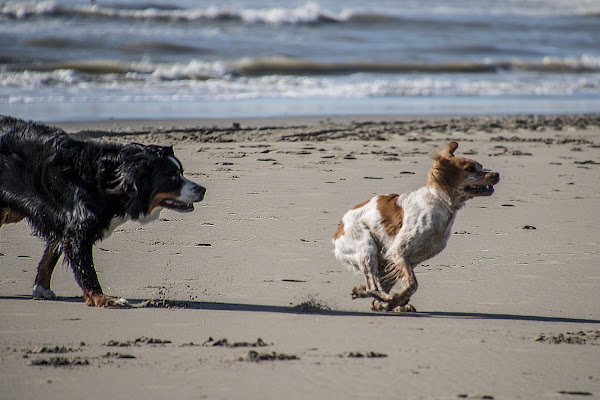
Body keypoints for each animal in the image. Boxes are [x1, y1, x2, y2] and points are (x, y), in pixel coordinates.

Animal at [0, 115, 206, 306]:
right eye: (173, 177)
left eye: (181, 173)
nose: (203, 189)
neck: (106, 181)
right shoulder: (77, 231)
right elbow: (87, 270)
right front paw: (103, 299)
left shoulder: (63, 223)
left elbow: (50, 258)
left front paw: (42, 288)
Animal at [332, 141, 496, 312]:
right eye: (470, 168)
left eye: (480, 166)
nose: (496, 175)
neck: (439, 201)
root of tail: (338, 232)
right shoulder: (398, 251)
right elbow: (412, 284)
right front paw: (396, 299)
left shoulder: (408, 258)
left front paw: (394, 301)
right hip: (366, 248)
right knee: (373, 287)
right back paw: (387, 299)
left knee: (375, 289)